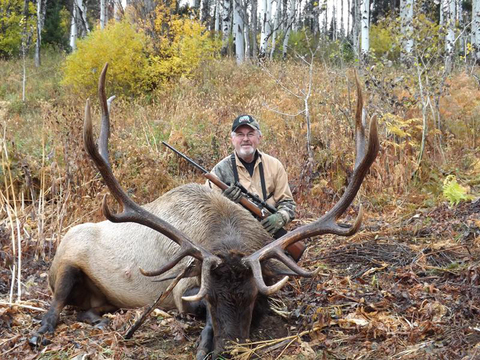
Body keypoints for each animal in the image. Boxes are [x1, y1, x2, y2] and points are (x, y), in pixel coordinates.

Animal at [31, 65, 378, 360]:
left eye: (252, 297)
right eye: (209, 298)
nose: (232, 348)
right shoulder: (182, 290)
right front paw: (205, 342)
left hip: (98, 296)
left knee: (83, 308)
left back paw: (99, 320)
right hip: (65, 264)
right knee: (57, 304)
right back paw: (41, 332)